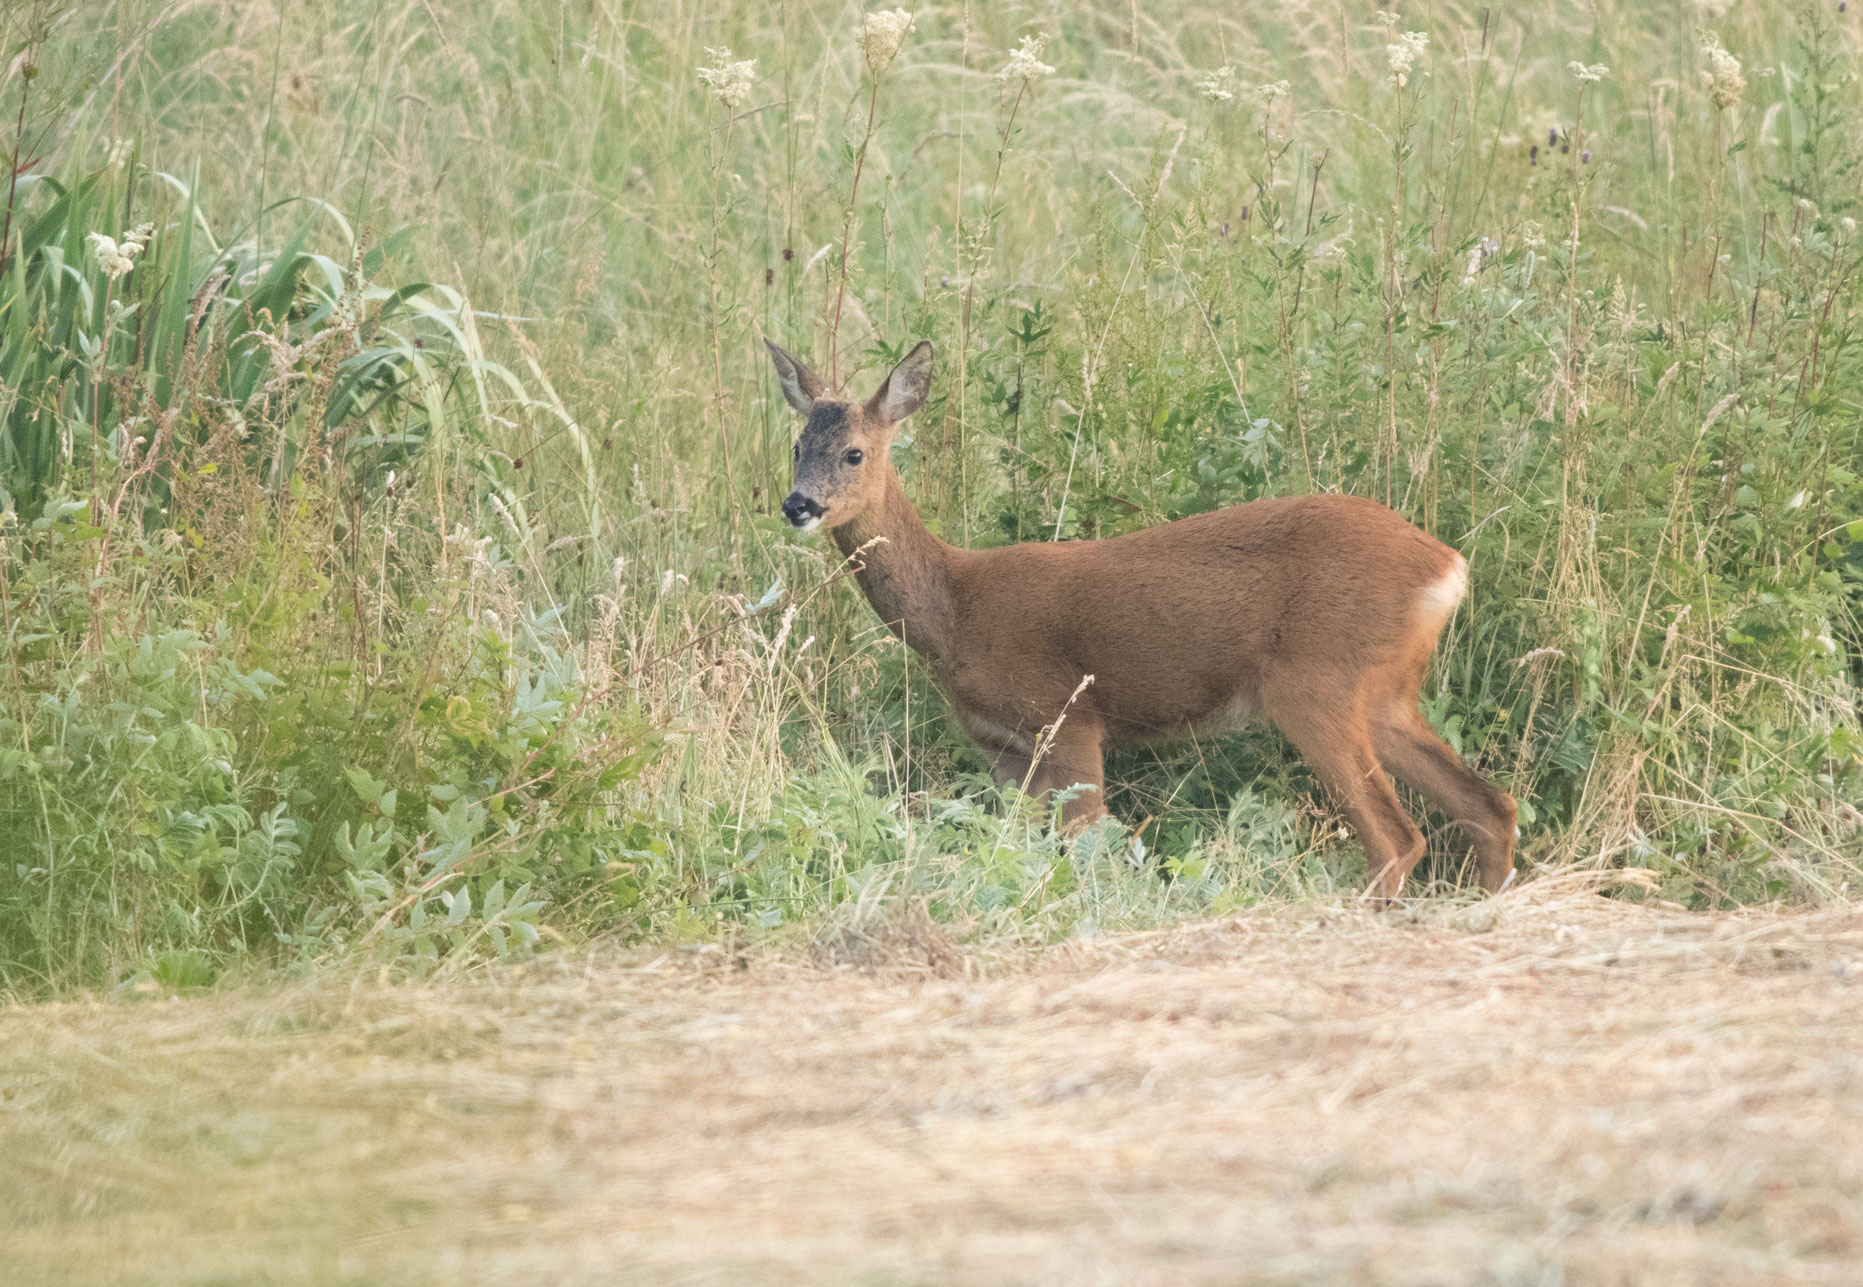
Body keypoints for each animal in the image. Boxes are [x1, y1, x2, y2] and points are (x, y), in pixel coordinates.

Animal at [763, 337, 1517, 900]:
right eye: (796, 445)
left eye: (854, 451)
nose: (797, 505)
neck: (956, 611)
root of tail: (1448, 566)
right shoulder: (1002, 748)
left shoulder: (1067, 720)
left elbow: (1087, 846)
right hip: (1385, 693)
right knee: (1488, 805)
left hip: (1316, 683)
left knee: (1397, 835)